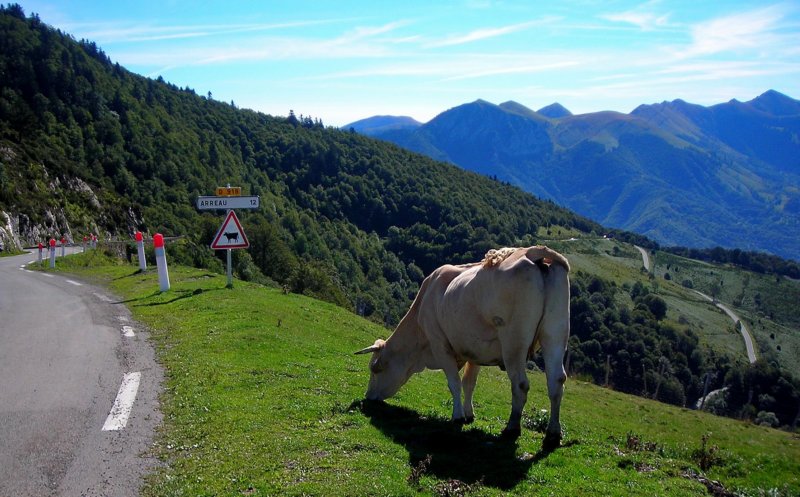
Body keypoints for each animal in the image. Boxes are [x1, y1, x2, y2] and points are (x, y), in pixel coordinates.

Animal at [356, 246, 570, 446]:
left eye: (375, 369)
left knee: (520, 384)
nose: (368, 396)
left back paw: (512, 428)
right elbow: (469, 384)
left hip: (514, 342)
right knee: (556, 381)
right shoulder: (475, 350)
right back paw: (553, 433)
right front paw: (468, 414)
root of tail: (531, 252)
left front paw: (457, 416)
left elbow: (454, 383)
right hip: (555, 335)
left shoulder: (439, 345)